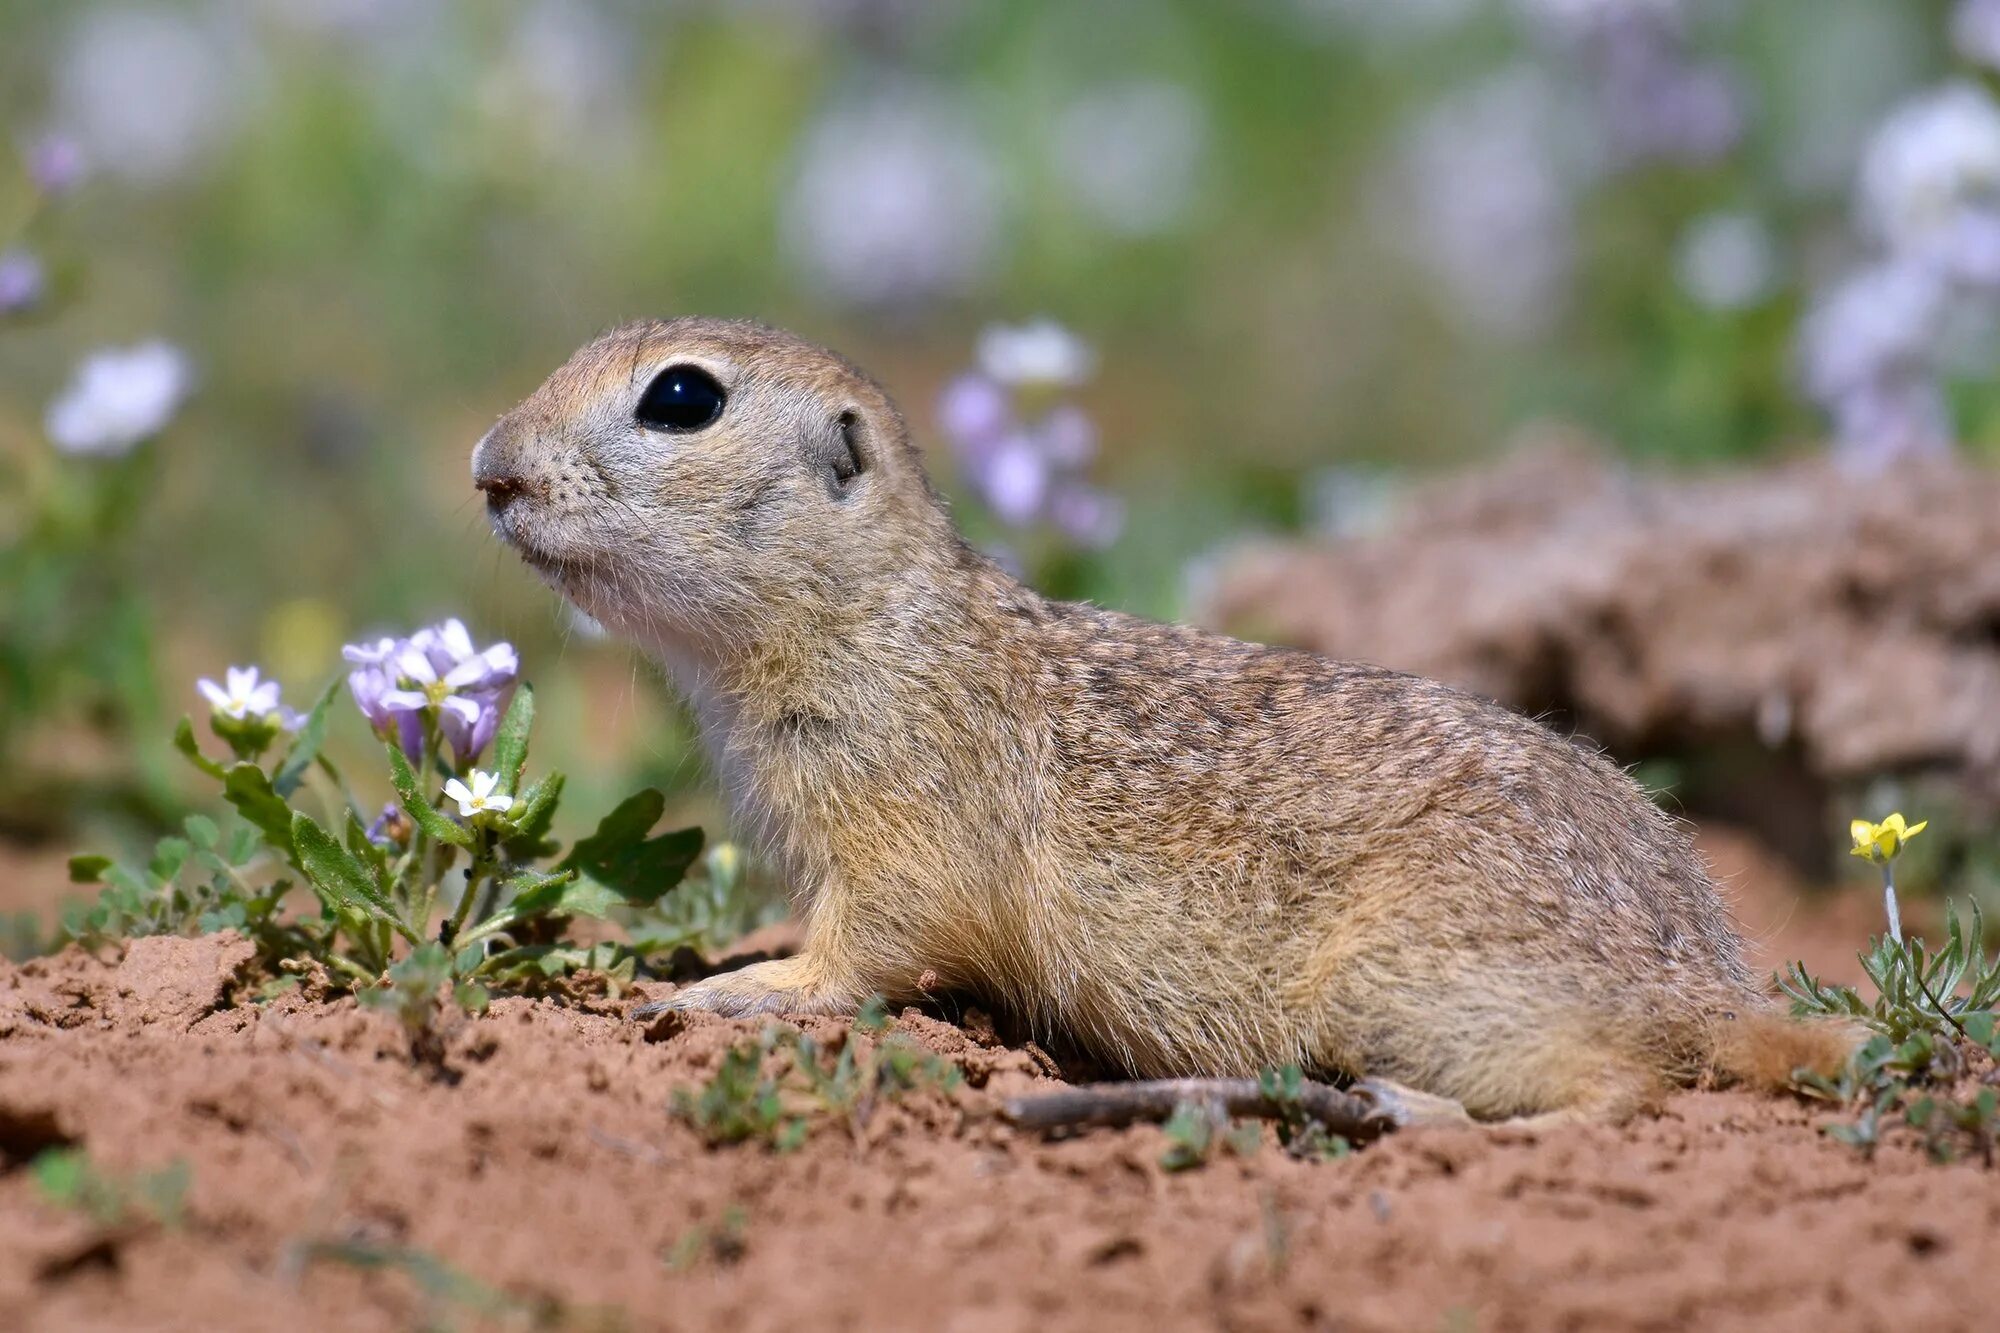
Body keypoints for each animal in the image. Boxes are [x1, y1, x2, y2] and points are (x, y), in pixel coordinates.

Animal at [476, 316, 1848, 1112]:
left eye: (681, 398)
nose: (489, 467)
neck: (868, 613)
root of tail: (1706, 988)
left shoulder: (903, 800)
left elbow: (872, 939)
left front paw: (737, 986)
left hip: (1413, 982)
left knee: (1618, 1088)